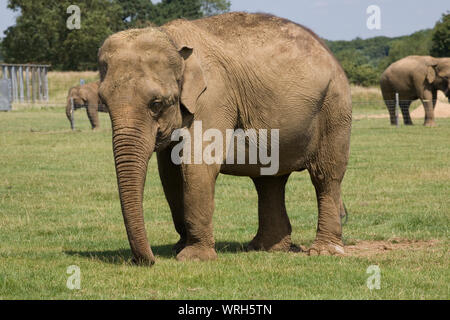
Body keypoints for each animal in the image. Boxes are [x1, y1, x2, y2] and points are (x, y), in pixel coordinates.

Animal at [97, 11, 352, 264]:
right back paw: (266, 248)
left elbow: (196, 164)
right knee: (269, 181)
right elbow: (169, 172)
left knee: (325, 175)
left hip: (334, 106)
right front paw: (179, 247)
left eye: (156, 104)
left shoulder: (213, 96)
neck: (172, 39)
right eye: (104, 102)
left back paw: (324, 251)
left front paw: (193, 257)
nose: (146, 260)